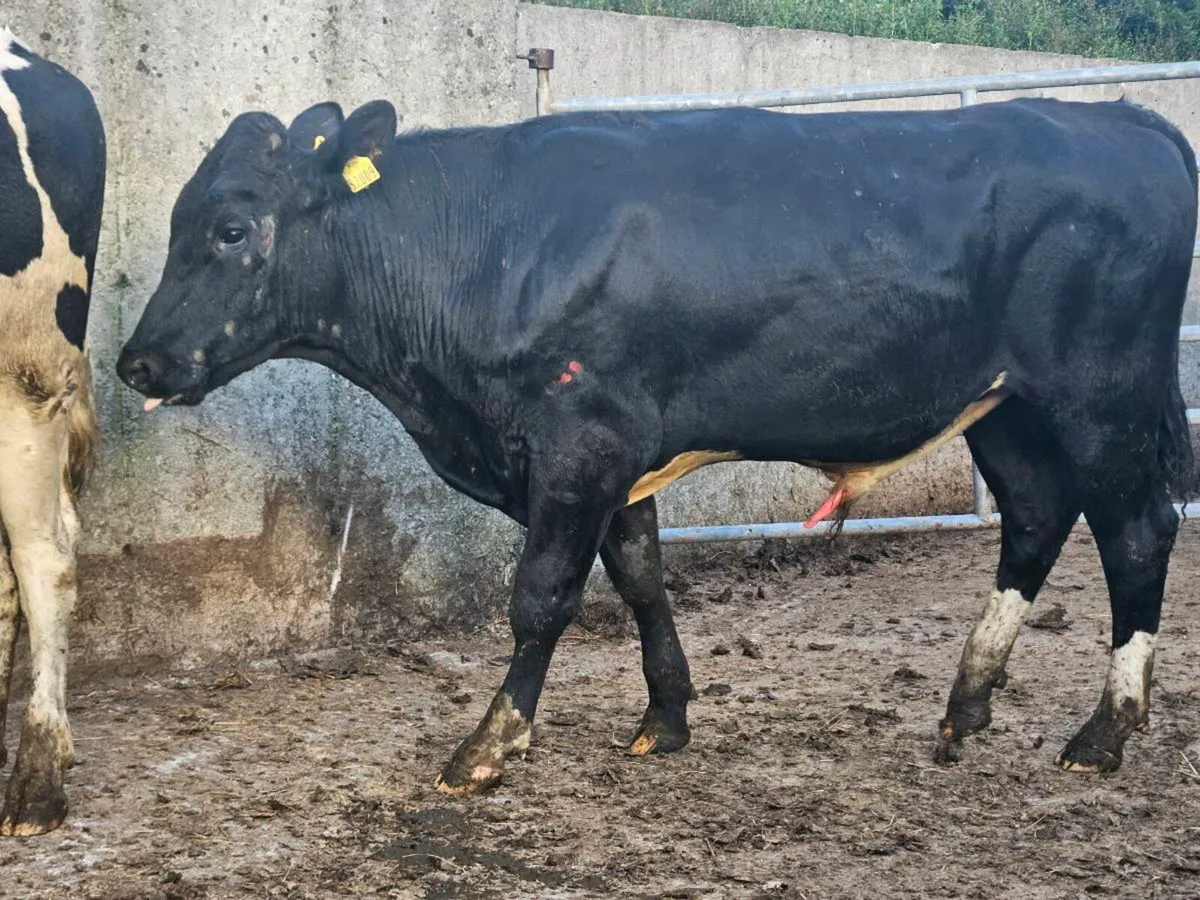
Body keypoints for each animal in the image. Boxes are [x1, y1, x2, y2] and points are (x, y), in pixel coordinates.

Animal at [116, 94, 1196, 794]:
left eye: (231, 227)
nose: (137, 362)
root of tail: (1121, 119)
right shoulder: (616, 458)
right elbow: (638, 575)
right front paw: (665, 716)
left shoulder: (580, 441)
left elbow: (542, 594)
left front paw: (490, 743)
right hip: (1007, 407)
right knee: (1037, 517)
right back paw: (966, 703)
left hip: (1101, 394)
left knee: (1136, 530)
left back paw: (1105, 731)